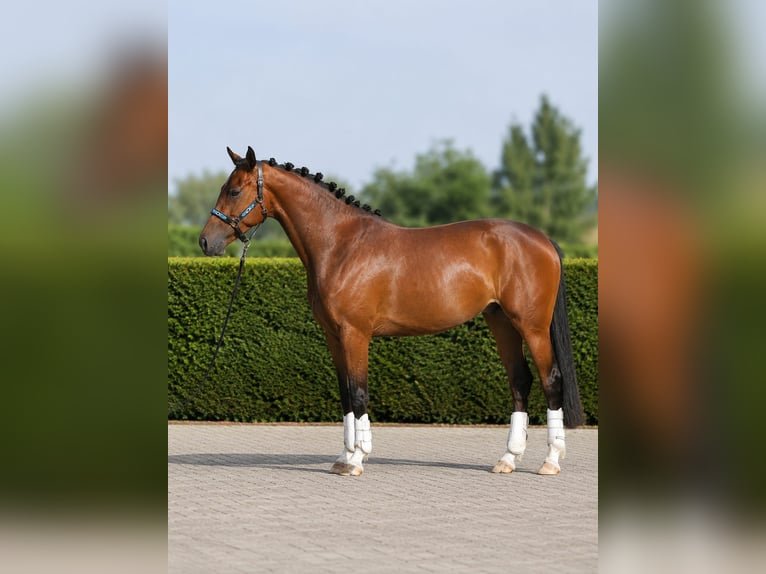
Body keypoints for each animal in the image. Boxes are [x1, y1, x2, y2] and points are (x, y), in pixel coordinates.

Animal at [199, 146, 584, 476]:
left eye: (234, 190)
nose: (206, 242)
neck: (341, 244)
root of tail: (542, 240)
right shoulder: (334, 336)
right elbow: (345, 393)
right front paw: (344, 457)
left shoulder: (355, 333)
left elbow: (358, 392)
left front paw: (357, 459)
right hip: (501, 322)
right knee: (520, 381)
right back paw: (507, 459)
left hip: (532, 327)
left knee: (551, 381)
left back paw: (550, 461)